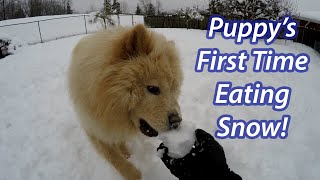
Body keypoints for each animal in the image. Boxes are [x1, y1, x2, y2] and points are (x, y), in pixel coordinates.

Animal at [68, 24, 182, 180]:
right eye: (153, 88)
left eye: (173, 89)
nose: (177, 121)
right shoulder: (95, 129)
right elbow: (118, 161)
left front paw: (126, 154)